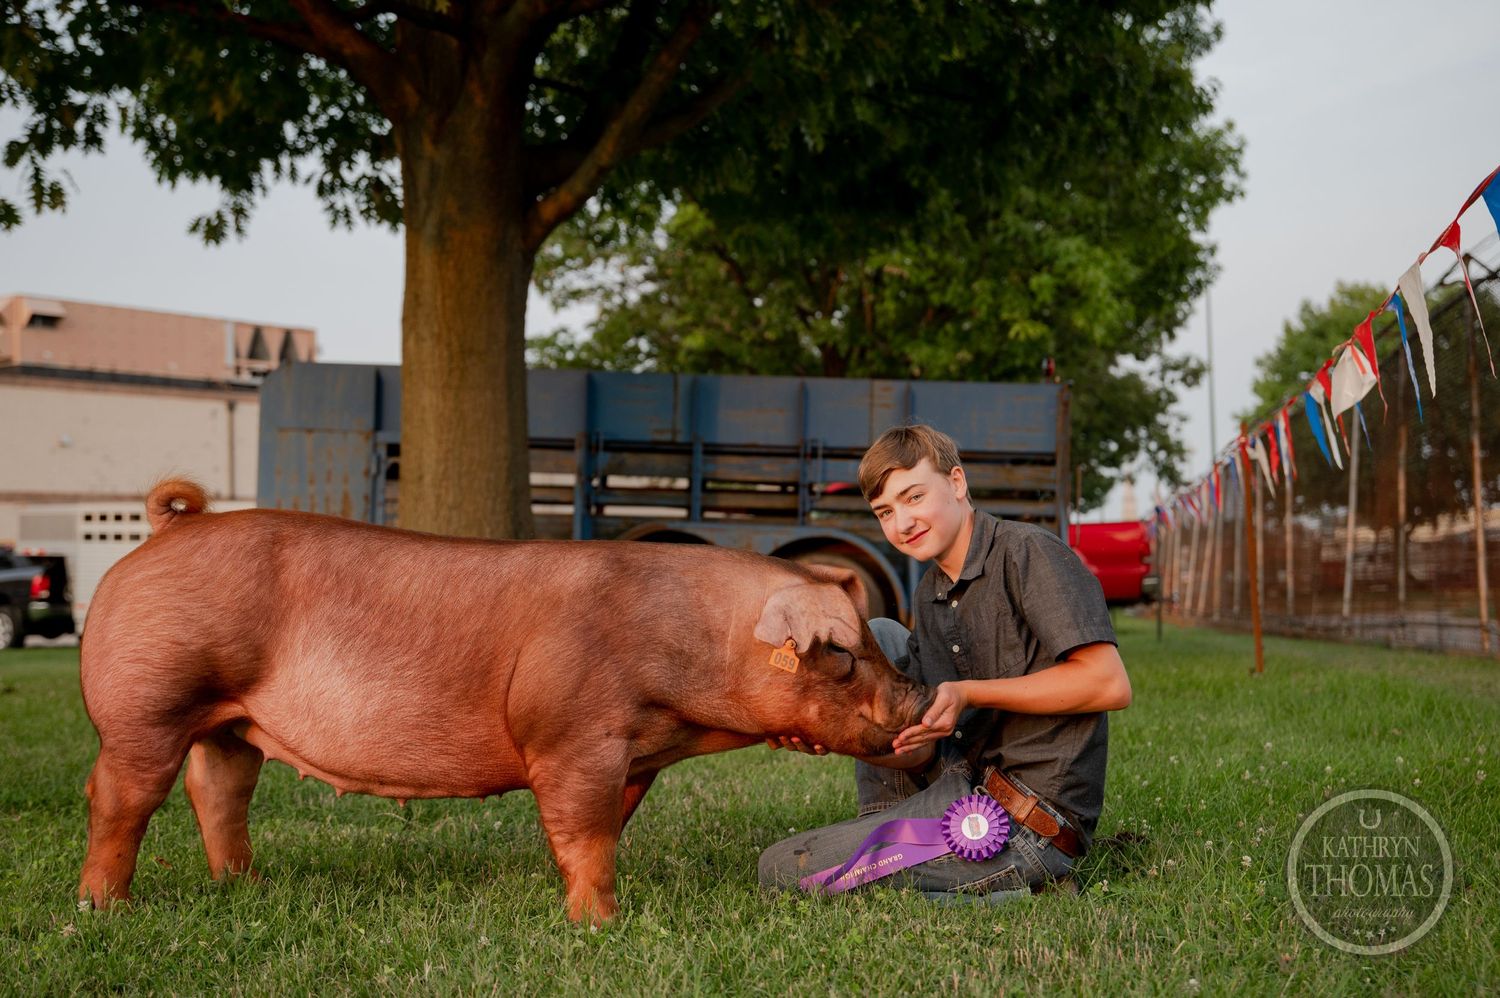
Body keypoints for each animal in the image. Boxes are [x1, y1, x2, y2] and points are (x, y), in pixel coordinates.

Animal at [77, 479, 932, 923]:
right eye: (843, 654)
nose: (920, 698)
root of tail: (166, 532)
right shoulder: (573, 736)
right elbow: (585, 831)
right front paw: (598, 924)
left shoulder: (633, 760)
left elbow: (600, 830)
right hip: (147, 702)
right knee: (120, 796)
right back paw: (105, 909)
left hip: (232, 722)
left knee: (218, 791)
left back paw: (244, 888)